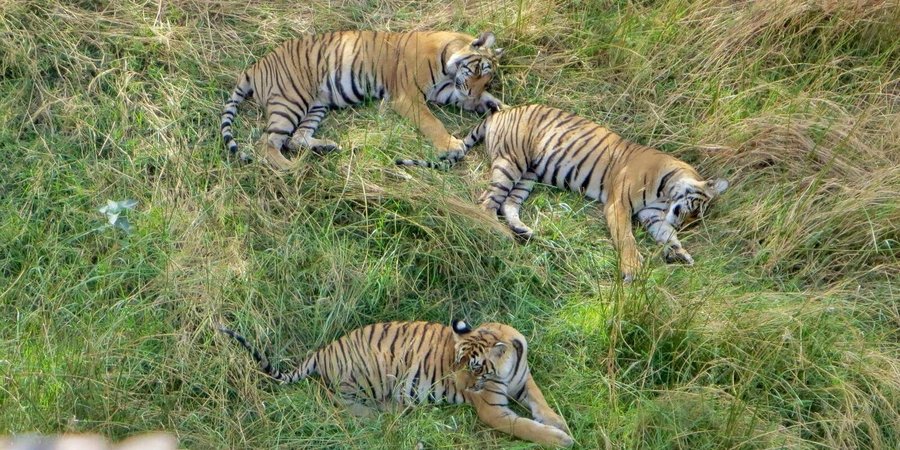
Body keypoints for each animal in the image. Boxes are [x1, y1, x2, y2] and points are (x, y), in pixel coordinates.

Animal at [220, 320, 574, 448]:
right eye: (455, 362)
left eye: (474, 367)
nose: (458, 383)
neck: (506, 368)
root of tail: (324, 350)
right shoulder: (492, 410)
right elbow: (523, 426)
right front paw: (561, 439)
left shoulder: (524, 380)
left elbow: (541, 403)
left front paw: (559, 422)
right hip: (368, 374)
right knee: (335, 400)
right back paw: (382, 414)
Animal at [221, 30, 505, 170]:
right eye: (478, 70)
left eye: (487, 81)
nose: (473, 93)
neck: (448, 65)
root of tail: (255, 66)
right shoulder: (408, 97)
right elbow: (432, 122)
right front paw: (451, 145)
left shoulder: (446, 90)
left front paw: (495, 105)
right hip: (291, 101)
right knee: (266, 143)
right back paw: (292, 168)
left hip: (317, 105)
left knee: (296, 138)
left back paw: (326, 148)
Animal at [396, 104, 729, 282]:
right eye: (694, 210)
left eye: (695, 219)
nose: (682, 223)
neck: (665, 192)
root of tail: (498, 112)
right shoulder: (619, 205)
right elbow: (627, 238)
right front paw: (633, 269)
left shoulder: (653, 216)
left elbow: (665, 235)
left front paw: (680, 251)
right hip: (510, 163)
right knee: (487, 203)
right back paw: (500, 235)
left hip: (528, 174)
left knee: (508, 205)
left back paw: (524, 231)